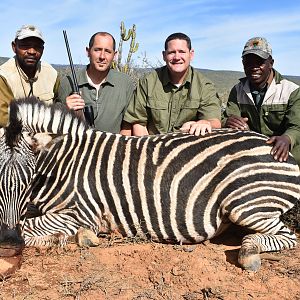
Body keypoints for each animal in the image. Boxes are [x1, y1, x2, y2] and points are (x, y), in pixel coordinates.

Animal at [0, 98, 300, 272]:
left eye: (29, 175)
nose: (7, 243)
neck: (64, 163)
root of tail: (277, 146)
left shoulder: (83, 213)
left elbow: (30, 226)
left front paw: (72, 238)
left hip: (245, 204)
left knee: (287, 237)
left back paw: (249, 252)